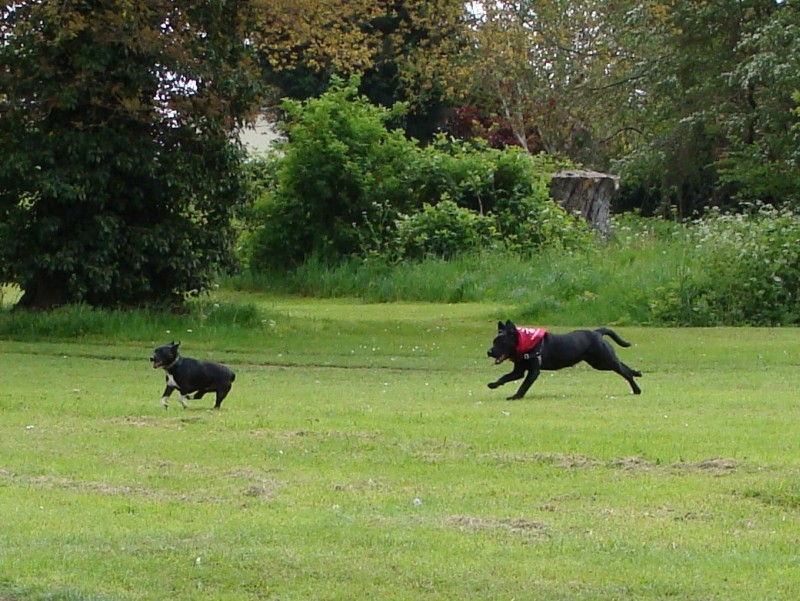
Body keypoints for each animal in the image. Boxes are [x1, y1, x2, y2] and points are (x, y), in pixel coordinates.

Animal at [484, 318, 640, 398]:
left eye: (502, 343)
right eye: (494, 341)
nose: (489, 352)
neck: (524, 343)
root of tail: (597, 332)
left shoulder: (533, 372)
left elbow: (524, 386)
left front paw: (516, 396)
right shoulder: (518, 371)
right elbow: (504, 377)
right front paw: (493, 384)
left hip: (604, 361)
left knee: (625, 372)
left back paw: (636, 389)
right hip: (600, 362)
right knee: (623, 366)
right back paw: (637, 373)